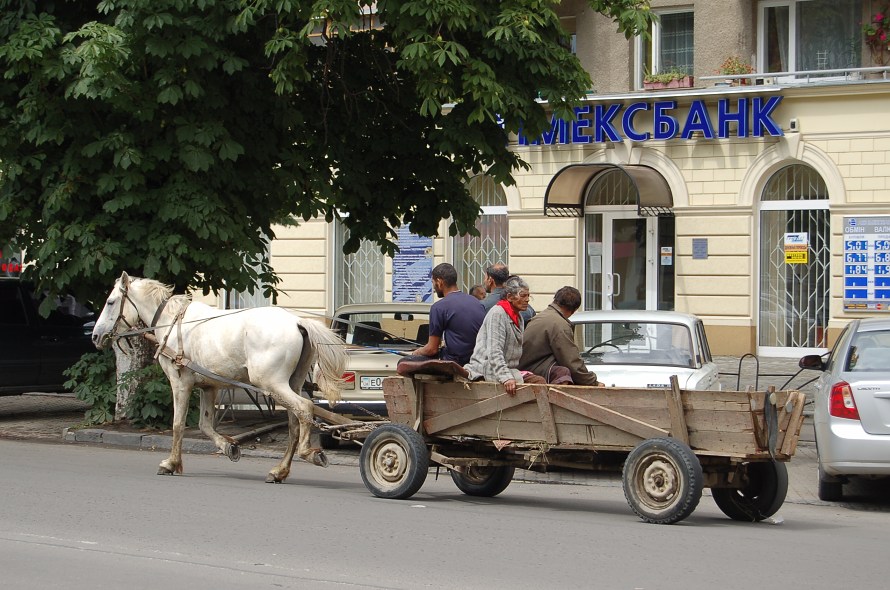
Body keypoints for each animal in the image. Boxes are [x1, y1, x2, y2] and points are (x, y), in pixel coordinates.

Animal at [91, 272, 346, 486]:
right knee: (295, 423)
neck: (172, 322)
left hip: (272, 384)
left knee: (305, 408)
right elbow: (204, 425)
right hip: (291, 384)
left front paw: (171, 464)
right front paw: (229, 446)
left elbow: (178, 424)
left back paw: (308, 453)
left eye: (110, 302)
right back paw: (279, 471)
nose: (95, 335)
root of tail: (297, 321)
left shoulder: (180, 383)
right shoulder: (208, 387)